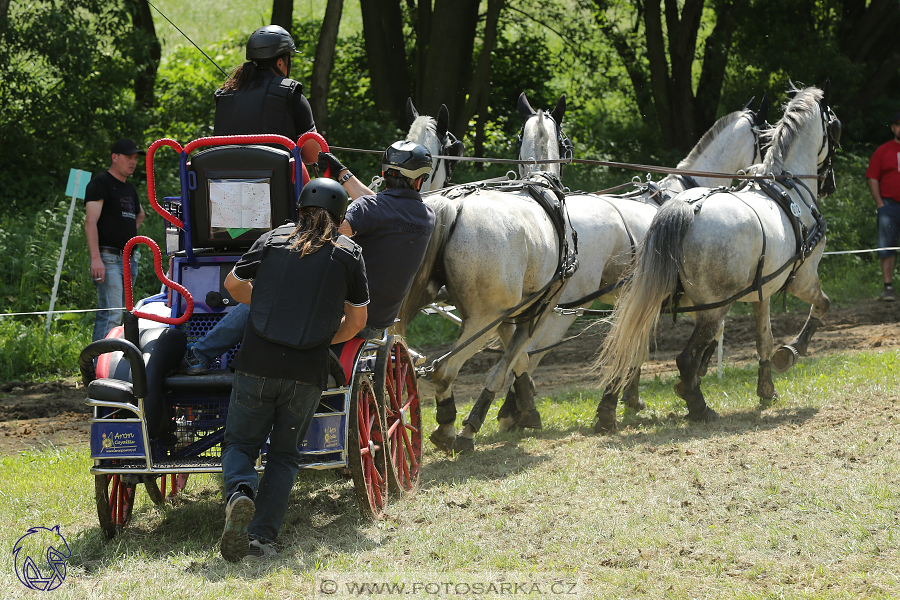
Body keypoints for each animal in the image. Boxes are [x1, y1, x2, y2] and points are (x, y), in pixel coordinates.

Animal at [600, 83, 840, 422]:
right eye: (835, 127)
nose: (829, 183)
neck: (788, 189)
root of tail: (682, 208)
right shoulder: (802, 278)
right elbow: (822, 305)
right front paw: (793, 351)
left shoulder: (761, 291)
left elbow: (764, 339)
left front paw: (766, 389)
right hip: (714, 306)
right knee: (684, 357)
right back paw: (699, 407)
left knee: (627, 342)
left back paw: (609, 410)